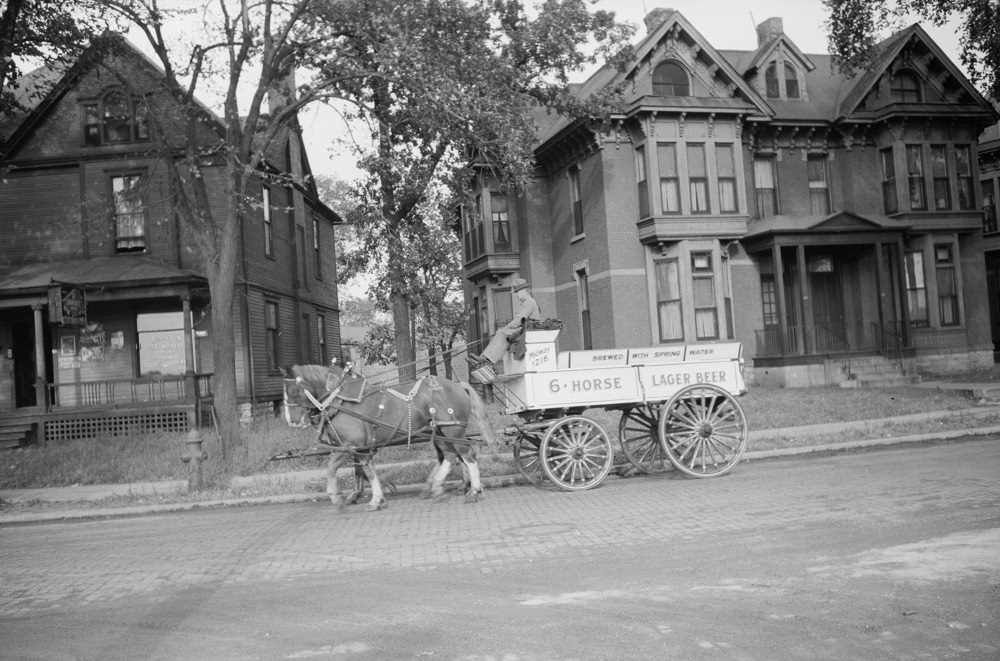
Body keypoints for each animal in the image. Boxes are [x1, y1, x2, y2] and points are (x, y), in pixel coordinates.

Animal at [278, 360, 496, 510]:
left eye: (293, 391)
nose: (291, 420)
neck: (340, 400)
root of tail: (459, 385)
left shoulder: (350, 445)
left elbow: (333, 467)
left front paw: (336, 496)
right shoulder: (360, 448)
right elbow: (367, 471)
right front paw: (375, 497)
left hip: (452, 429)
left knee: (467, 455)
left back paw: (473, 490)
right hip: (441, 431)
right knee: (451, 455)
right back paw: (440, 487)